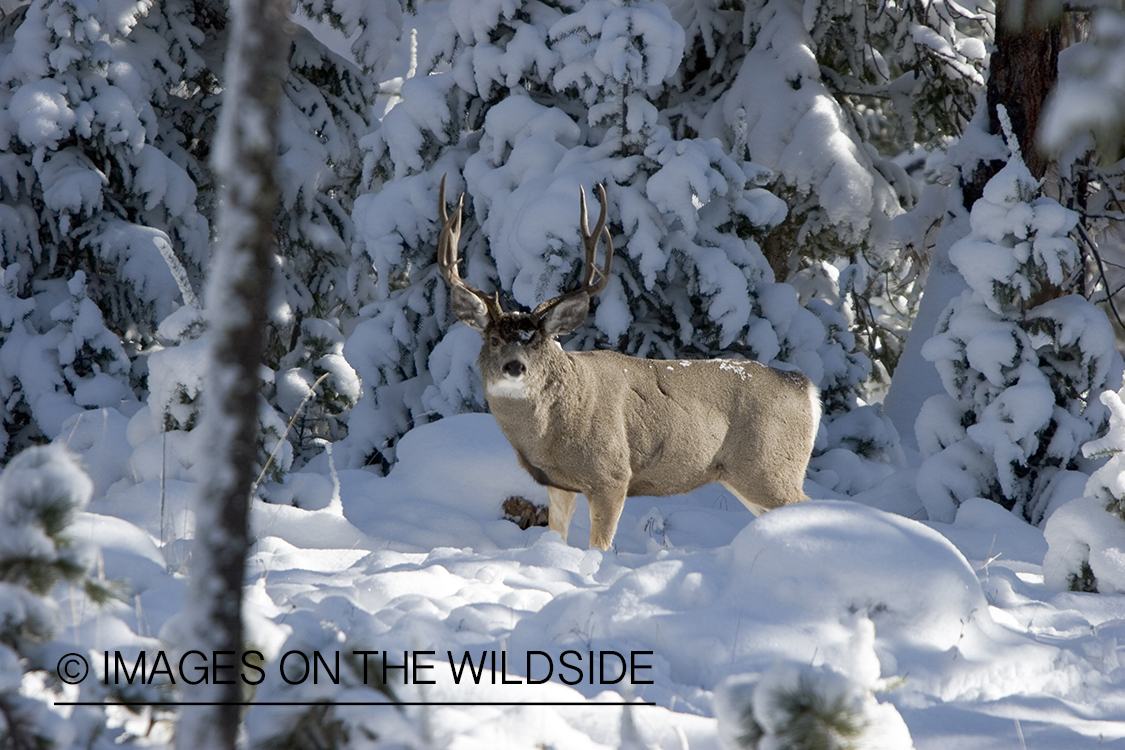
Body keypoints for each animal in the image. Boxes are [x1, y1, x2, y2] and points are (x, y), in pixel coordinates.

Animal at [437, 175, 821, 550]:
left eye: (539, 343)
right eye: (494, 340)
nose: (515, 367)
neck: (552, 431)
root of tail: (806, 388)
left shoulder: (612, 474)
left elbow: (600, 547)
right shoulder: (559, 483)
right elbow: (556, 537)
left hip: (770, 466)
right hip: (746, 474)